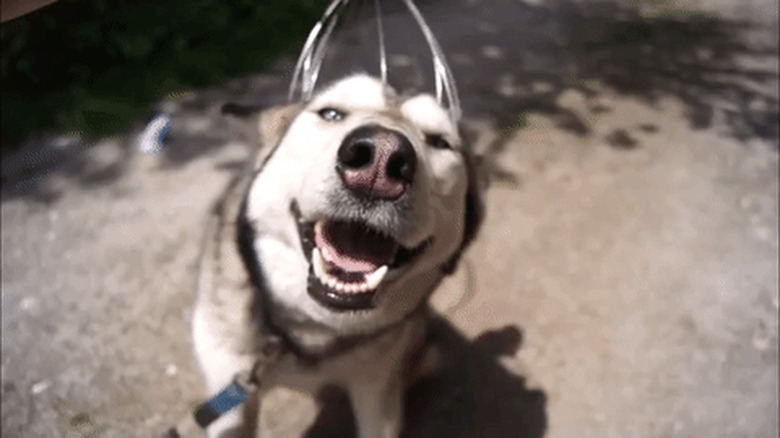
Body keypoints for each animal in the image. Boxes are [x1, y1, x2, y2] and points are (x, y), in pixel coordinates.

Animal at [193, 75, 482, 438]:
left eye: (440, 142)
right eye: (331, 113)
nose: (381, 159)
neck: (311, 332)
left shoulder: (376, 387)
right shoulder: (228, 383)